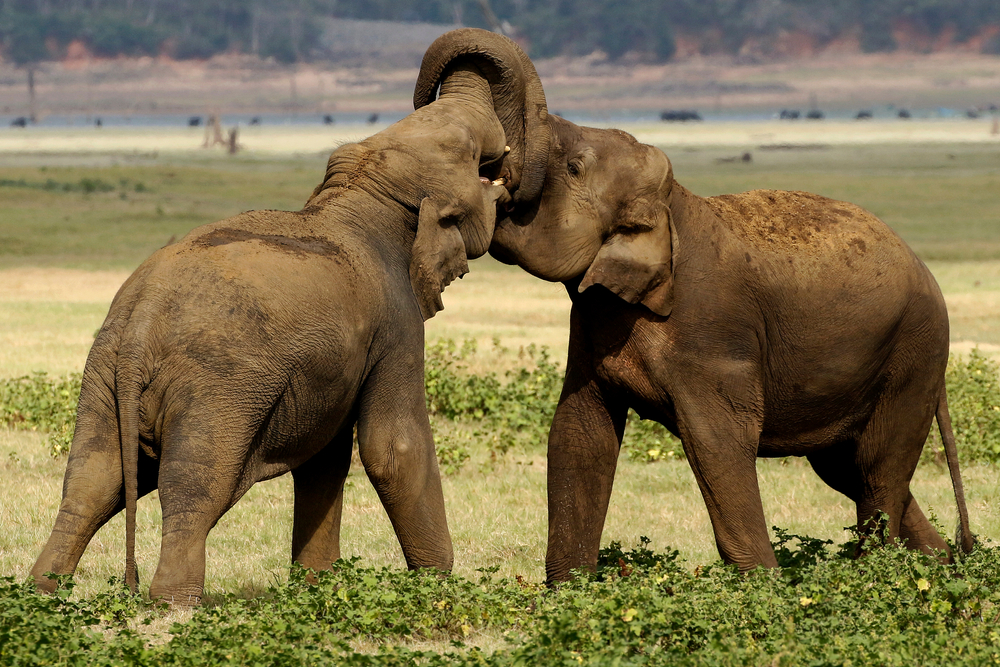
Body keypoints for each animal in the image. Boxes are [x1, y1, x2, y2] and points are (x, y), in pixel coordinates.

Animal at [31, 30, 548, 604]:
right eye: (469, 153)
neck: (359, 194)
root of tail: (142, 324)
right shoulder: (396, 323)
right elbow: (394, 446)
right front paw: (436, 590)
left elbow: (326, 459)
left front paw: (317, 588)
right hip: (217, 390)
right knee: (194, 487)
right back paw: (174, 605)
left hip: (101, 375)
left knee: (92, 482)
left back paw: (42, 592)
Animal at [414, 40, 976, 580]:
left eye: (573, 167)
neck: (675, 204)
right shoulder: (594, 321)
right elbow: (579, 432)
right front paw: (567, 591)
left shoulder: (712, 332)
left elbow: (717, 442)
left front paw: (762, 587)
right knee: (848, 469)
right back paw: (939, 564)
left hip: (914, 354)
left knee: (879, 468)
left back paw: (876, 575)